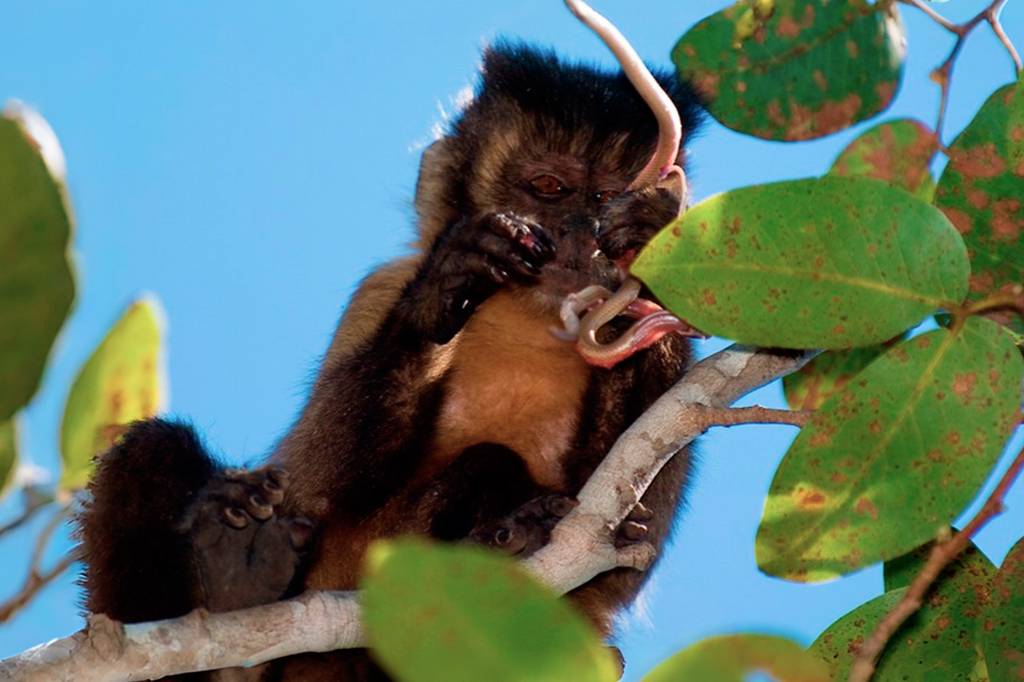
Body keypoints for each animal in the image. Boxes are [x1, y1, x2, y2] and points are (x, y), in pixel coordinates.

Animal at [78, 41, 704, 681]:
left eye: (605, 200)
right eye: (549, 187)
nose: (584, 238)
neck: (527, 315)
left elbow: (624, 553)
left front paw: (651, 242)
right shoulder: (380, 288)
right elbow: (317, 483)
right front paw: (443, 291)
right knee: (154, 448)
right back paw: (237, 588)